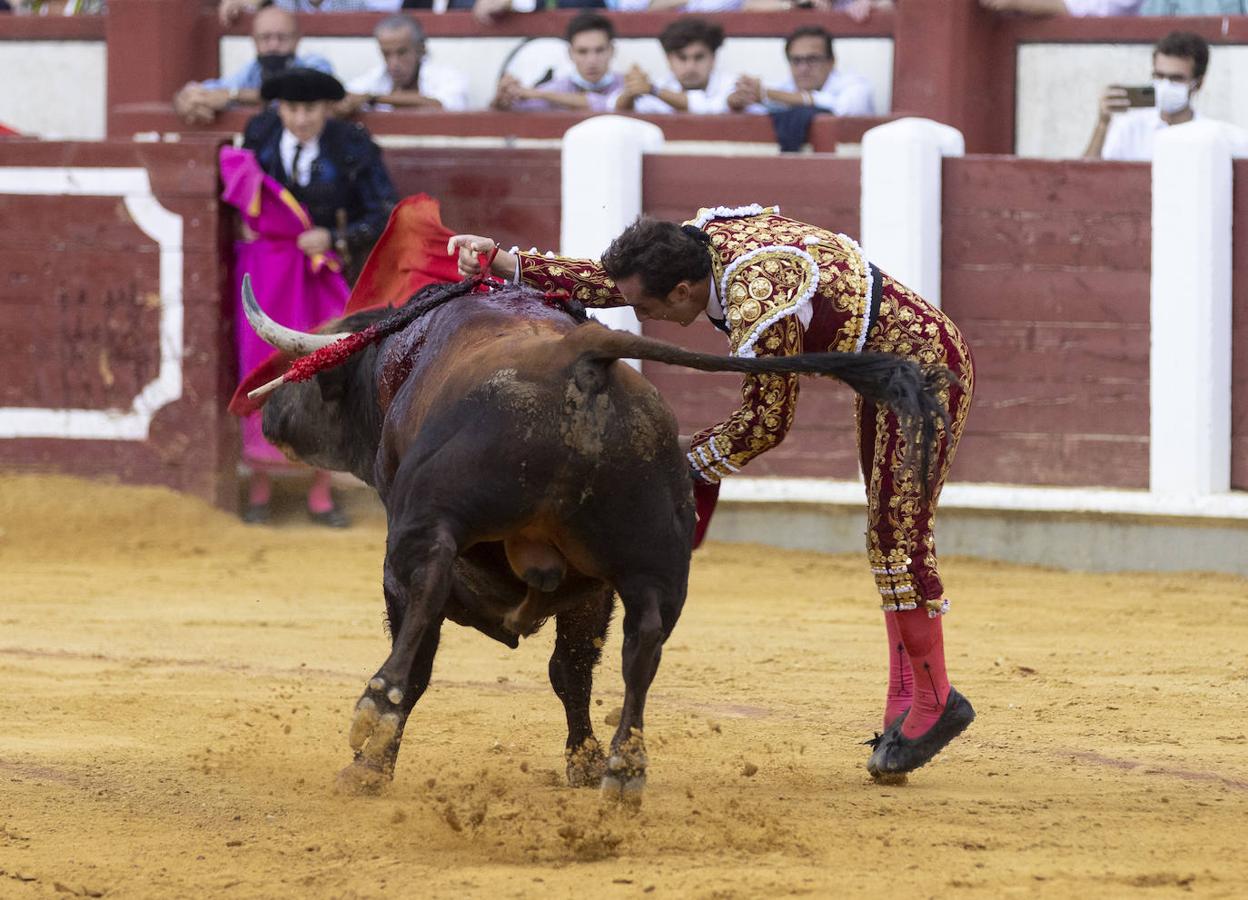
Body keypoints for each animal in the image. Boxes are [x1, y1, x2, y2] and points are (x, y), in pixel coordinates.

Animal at [240, 275, 943, 798]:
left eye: (307, 377)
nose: (268, 416)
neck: (401, 356)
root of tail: (582, 357)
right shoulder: (590, 587)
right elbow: (572, 669)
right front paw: (582, 759)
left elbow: (430, 651)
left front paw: (372, 763)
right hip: (652, 565)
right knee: (642, 645)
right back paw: (624, 765)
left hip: (428, 522)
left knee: (430, 592)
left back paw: (375, 713)